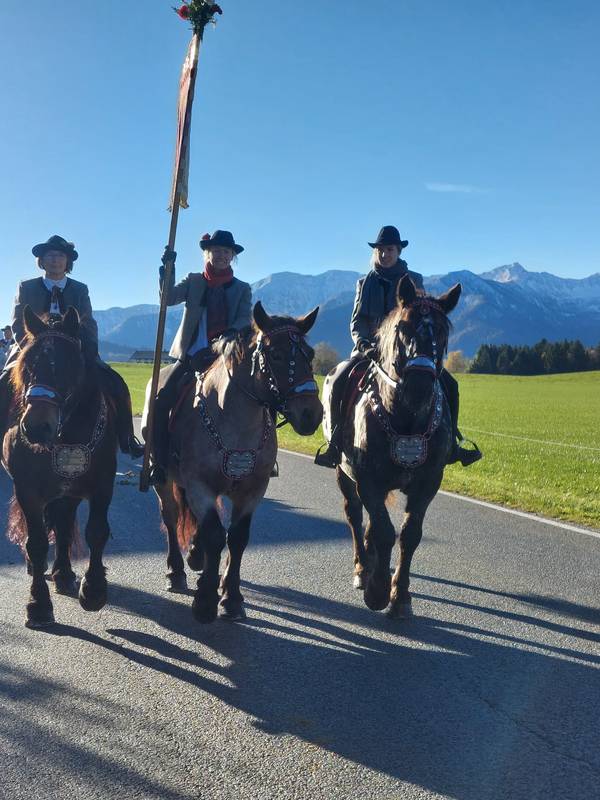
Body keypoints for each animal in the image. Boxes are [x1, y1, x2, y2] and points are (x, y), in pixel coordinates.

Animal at [2, 306, 118, 628]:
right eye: (27, 365)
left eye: (69, 366)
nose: (36, 427)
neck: (66, 435)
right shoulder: (28, 491)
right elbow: (37, 542)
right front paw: (38, 604)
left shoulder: (102, 486)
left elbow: (97, 532)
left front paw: (93, 591)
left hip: (69, 493)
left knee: (64, 524)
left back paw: (63, 573)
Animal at [144, 301, 323, 623]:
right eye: (276, 355)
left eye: (310, 354)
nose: (311, 414)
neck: (234, 422)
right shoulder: (200, 485)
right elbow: (216, 535)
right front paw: (205, 601)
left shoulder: (253, 491)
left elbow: (237, 538)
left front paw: (231, 597)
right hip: (165, 479)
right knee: (172, 516)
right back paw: (176, 571)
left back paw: (197, 558)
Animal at [323, 275, 462, 619]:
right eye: (403, 327)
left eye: (443, 331)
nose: (419, 386)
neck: (406, 418)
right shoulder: (368, 480)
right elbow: (384, 531)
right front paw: (377, 591)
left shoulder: (428, 483)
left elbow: (409, 535)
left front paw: (400, 596)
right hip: (344, 475)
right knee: (355, 516)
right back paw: (363, 568)